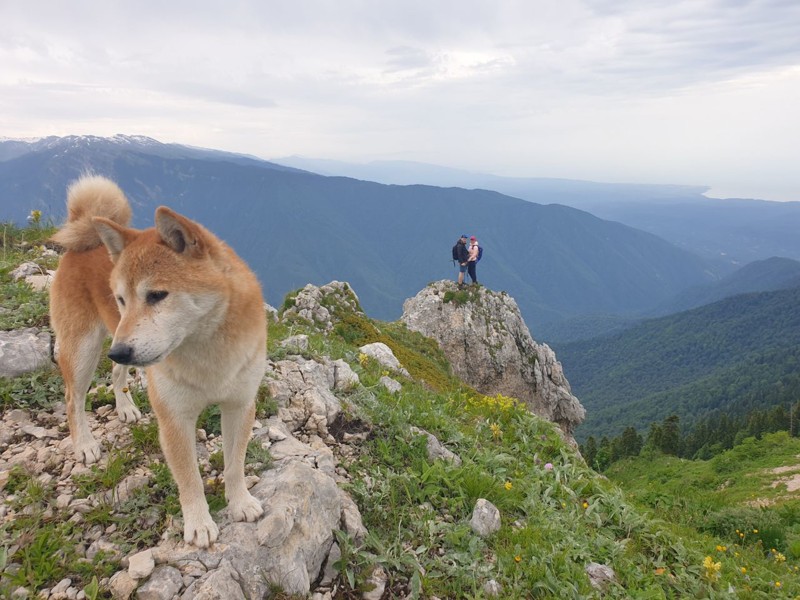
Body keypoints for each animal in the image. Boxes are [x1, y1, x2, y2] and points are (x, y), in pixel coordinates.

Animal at [50, 175, 268, 548]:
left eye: (156, 295)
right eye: (121, 298)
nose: (120, 350)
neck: (208, 351)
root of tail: (84, 241)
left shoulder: (240, 405)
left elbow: (234, 464)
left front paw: (240, 502)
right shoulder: (174, 418)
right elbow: (189, 478)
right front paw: (199, 523)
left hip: (119, 343)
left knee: (116, 373)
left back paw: (125, 407)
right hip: (87, 348)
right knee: (73, 398)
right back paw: (85, 445)